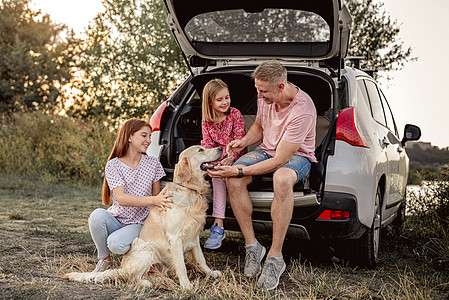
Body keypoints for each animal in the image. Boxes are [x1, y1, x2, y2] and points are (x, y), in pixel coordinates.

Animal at [62, 145, 223, 288]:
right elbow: (181, 265)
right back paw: (146, 283)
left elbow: (201, 260)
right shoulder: (175, 237)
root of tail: (123, 268)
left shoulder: (194, 236)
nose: (221, 148)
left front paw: (211, 273)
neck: (189, 190)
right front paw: (186, 285)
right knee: (132, 277)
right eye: (200, 150)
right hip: (149, 249)